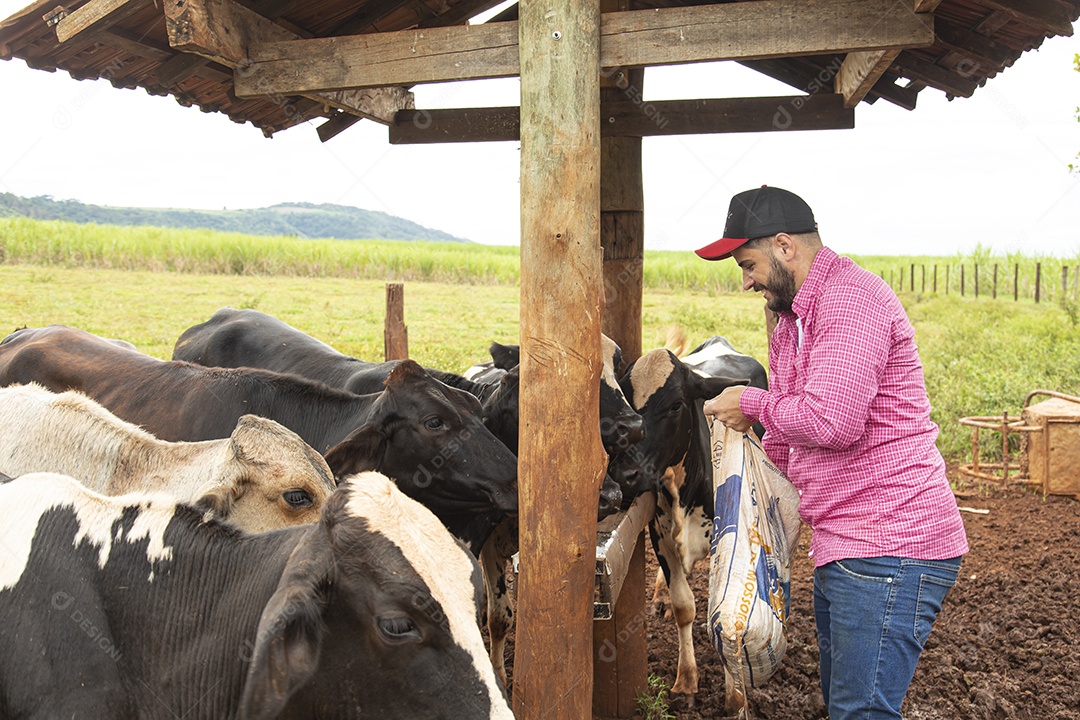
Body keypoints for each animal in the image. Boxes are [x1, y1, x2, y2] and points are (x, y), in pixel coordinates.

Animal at [609, 347, 751, 708]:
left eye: (675, 405)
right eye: (624, 401)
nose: (624, 474)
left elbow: (719, 609)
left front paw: (733, 693)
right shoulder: (660, 536)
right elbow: (683, 606)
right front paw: (686, 679)